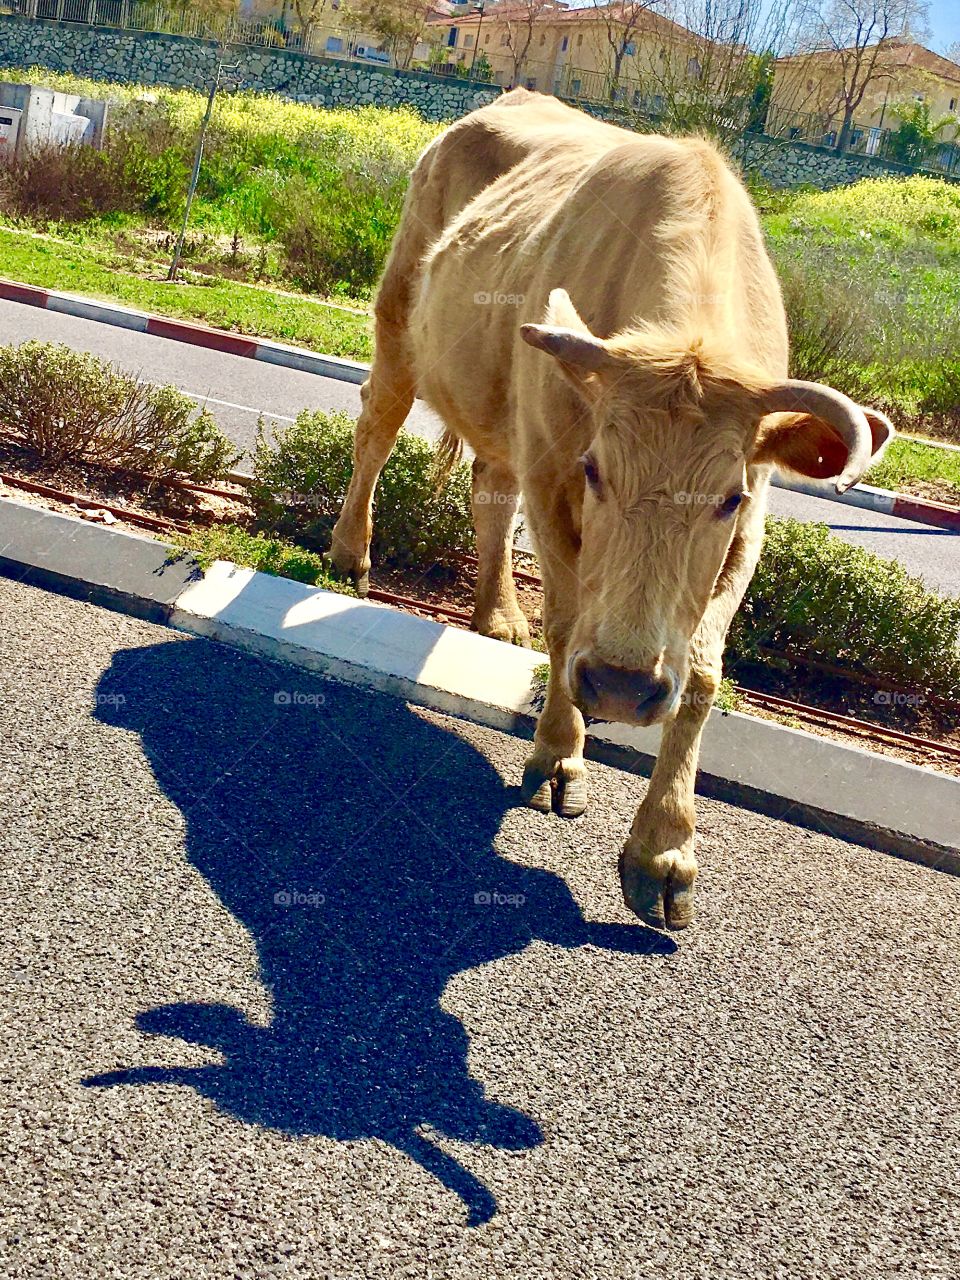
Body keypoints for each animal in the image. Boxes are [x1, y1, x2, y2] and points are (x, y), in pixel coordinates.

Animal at [326, 90, 892, 931]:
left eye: (727, 497)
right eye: (597, 471)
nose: (623, 687)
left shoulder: (752, 526)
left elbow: (701, 672)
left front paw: (663, 848)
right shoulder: (553, 472)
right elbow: (567, 625)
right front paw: (559, 755)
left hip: (503, 417)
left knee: (488, 493)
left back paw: (497, 613)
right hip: (400, 326)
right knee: (376, 429)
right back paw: (350, 553)